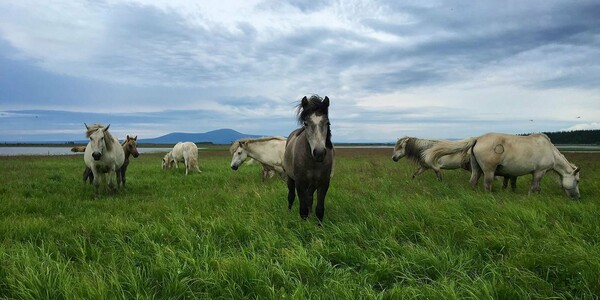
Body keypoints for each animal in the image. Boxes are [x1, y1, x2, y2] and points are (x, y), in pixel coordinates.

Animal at [284, 94, 336, 223]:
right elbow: (303, 210)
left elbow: (319, 209)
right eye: (306, 123)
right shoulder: (300, 183)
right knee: (291, 196)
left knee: (310, 199)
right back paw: (289, 212)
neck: (313, 162)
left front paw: (319, 226)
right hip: (290, 179)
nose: (319, 153)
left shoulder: (324, 183)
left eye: (327, 123)